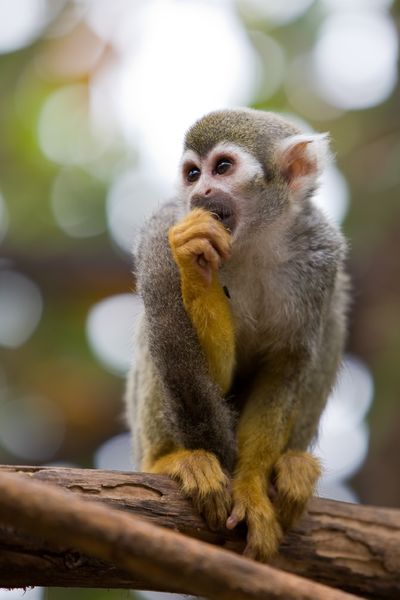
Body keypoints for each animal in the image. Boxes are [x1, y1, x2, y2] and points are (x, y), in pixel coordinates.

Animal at [125, 109, 346, 564]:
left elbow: (287, 365)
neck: (257, 241)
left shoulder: (322, 256)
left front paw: (251, 488)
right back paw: (164, 462)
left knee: (332, 319)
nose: (201, 191)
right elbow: (214, 376)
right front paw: (193, 261)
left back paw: (292, 467)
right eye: (193, 174)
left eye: (223, 167)